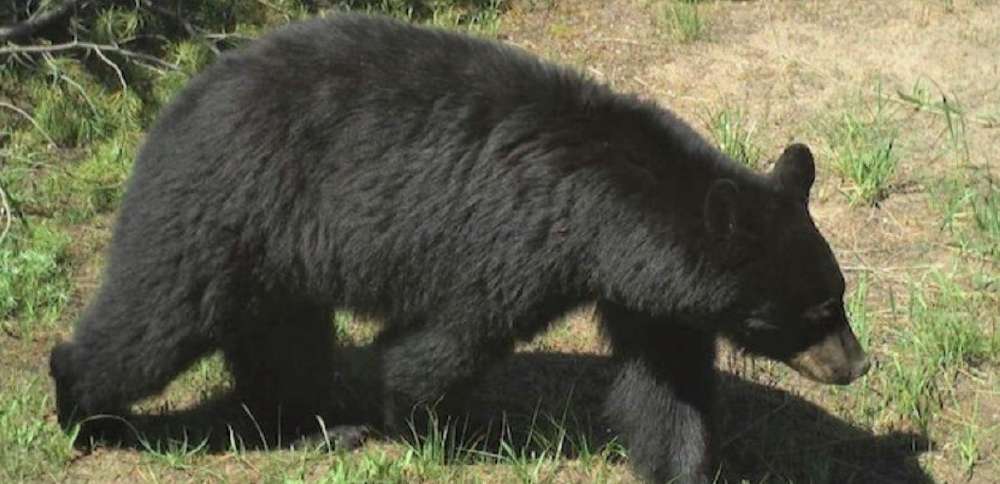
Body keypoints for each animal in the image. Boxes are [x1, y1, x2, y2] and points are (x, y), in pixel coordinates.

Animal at [49, 13, 870, 483]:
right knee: (156, 319)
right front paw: (433, 429)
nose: (857, 364)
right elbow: (440, 343)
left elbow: (666, 384)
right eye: (816, 310)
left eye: (839, 296)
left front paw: (683, 466)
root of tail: (182, 97)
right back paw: (87, 412)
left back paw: (314, 423)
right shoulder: (512, 244)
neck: (608, 215)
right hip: (228, 205)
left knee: (280, 337)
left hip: (278, 253)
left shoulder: (646, 291)